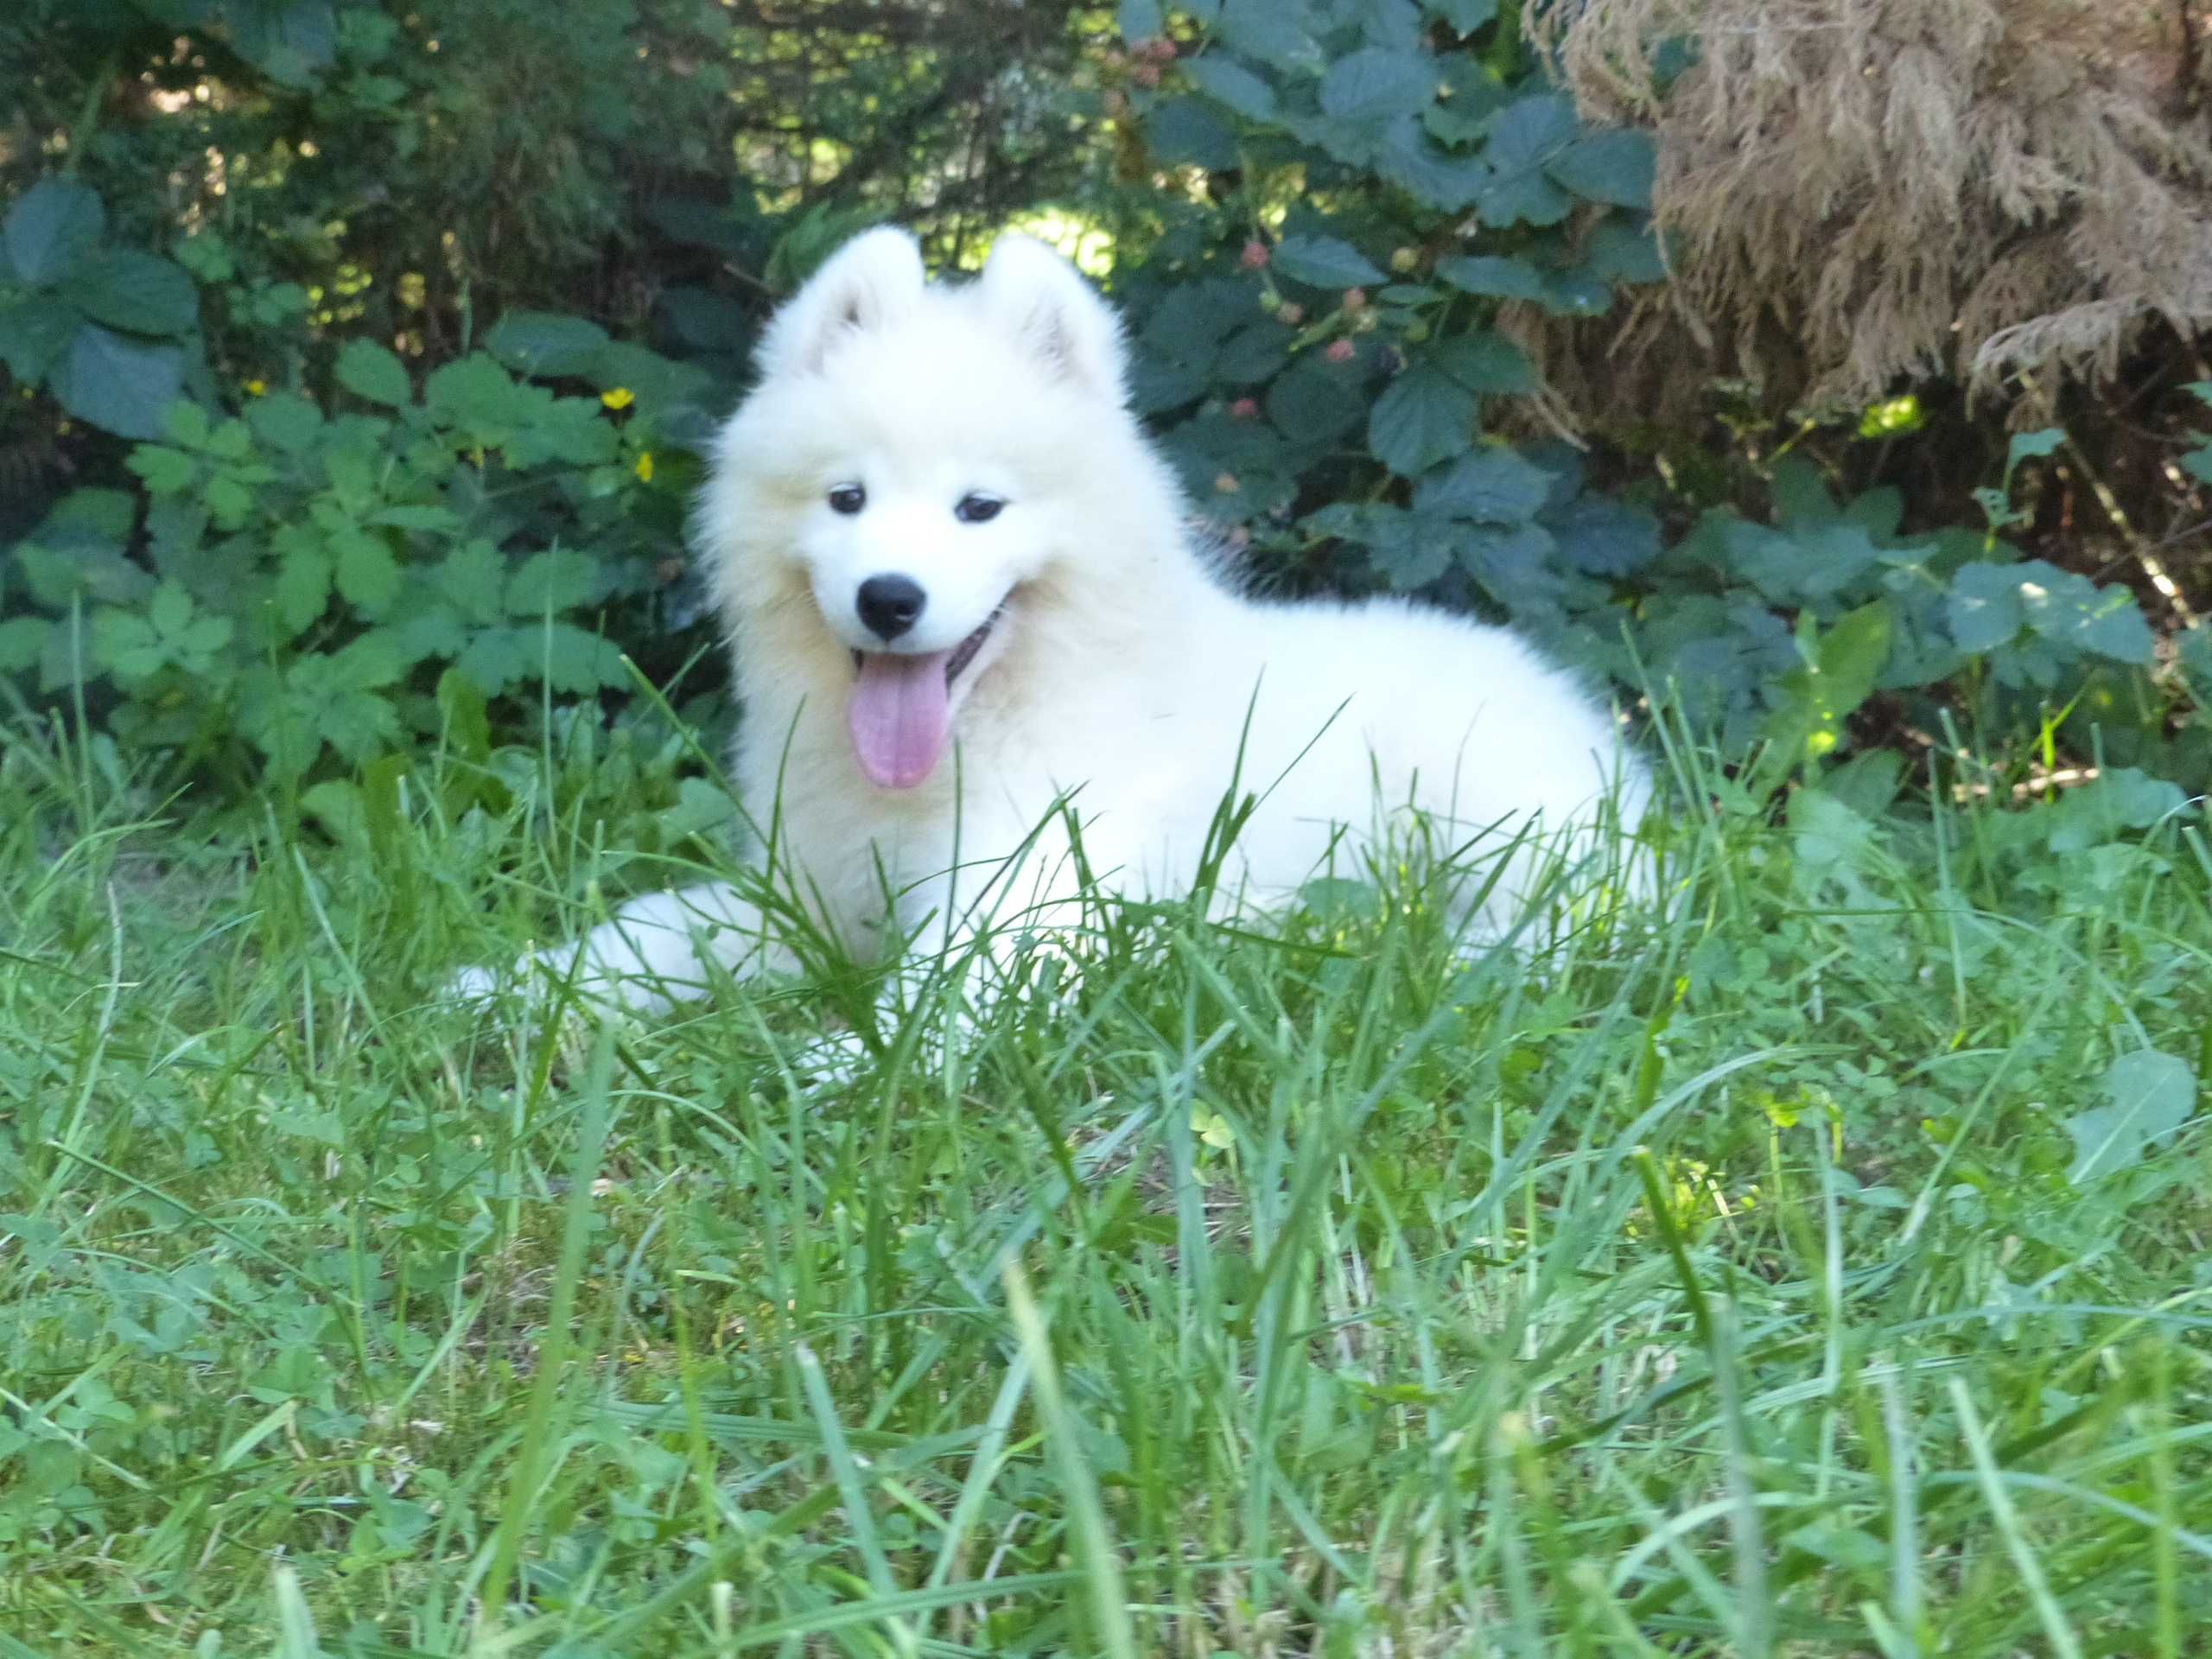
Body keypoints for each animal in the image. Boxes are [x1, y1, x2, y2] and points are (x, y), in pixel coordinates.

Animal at [462, 228, 1645, 1021]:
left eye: (979, 508)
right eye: (845, 499)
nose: (888, 598)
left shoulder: (1040, 885)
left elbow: (947, 983)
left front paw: (852, 1064)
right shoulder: (804, 896)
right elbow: (651, 933)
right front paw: (506, 984)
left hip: (1497, 811)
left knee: (1576, 919)